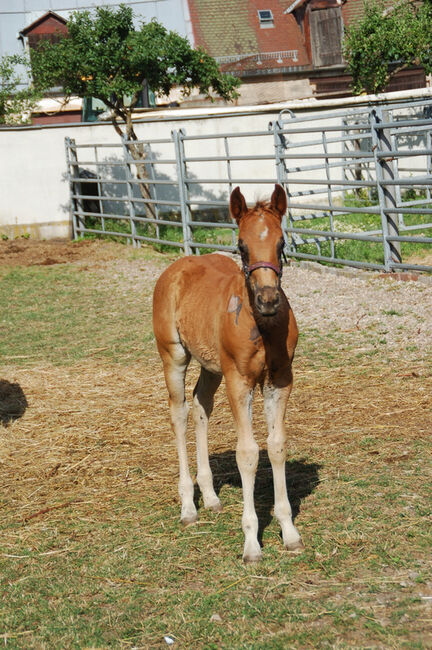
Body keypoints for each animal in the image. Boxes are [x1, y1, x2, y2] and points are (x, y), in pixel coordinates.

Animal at [153, 185, 304, 560]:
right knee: (178, 412)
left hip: (212, 366)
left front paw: (289, 532)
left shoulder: (280, 380)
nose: (268, 300)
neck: (262, 325)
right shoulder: (240, 381)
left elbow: (277, 445)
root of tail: (177, 266)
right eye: (241, 245)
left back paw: (209, 497)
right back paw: (188, 507)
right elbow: (247, 453)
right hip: (173, 355)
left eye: (281, 243)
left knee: (200, 405)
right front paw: (251, 543)